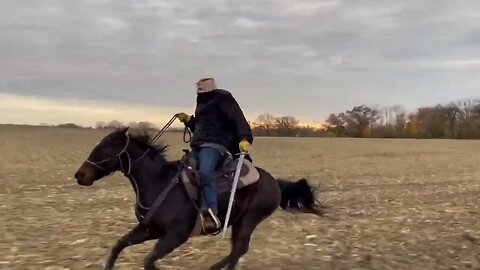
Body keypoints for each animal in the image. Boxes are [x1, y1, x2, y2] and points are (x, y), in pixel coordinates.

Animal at [74, 127, 322, 268]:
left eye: (104, 147)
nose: (79, 175)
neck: (159, 182)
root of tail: (274, 181)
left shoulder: (175, 235)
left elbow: (149, 261)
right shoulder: (150, 229)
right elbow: (118, 246)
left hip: (249, 219)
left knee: (239, 249)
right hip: (238, 221)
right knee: (237, 251)